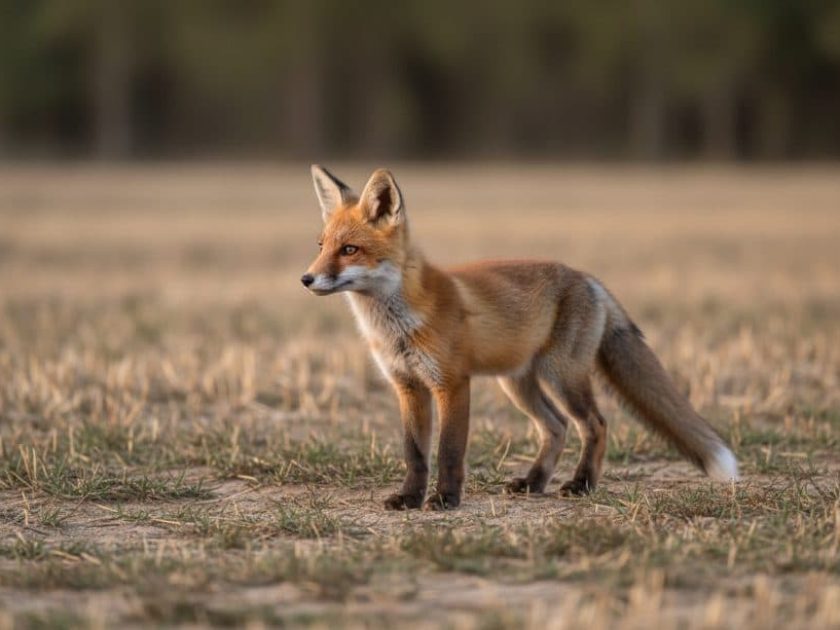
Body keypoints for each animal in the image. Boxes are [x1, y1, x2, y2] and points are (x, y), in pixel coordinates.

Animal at [302, 165, 739, 510]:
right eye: (321, 246)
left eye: (350, 250)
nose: (306, 279)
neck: (395, 324)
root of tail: (587, 277)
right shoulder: (407, 385)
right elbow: (415, 453)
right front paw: (409, 498)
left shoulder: (452, 383)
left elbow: (448, 451)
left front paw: (445, 499)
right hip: (519, 384)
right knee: (556, 427)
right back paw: (533, 482)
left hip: (562, 377)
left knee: (595, 424)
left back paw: (580, 484)